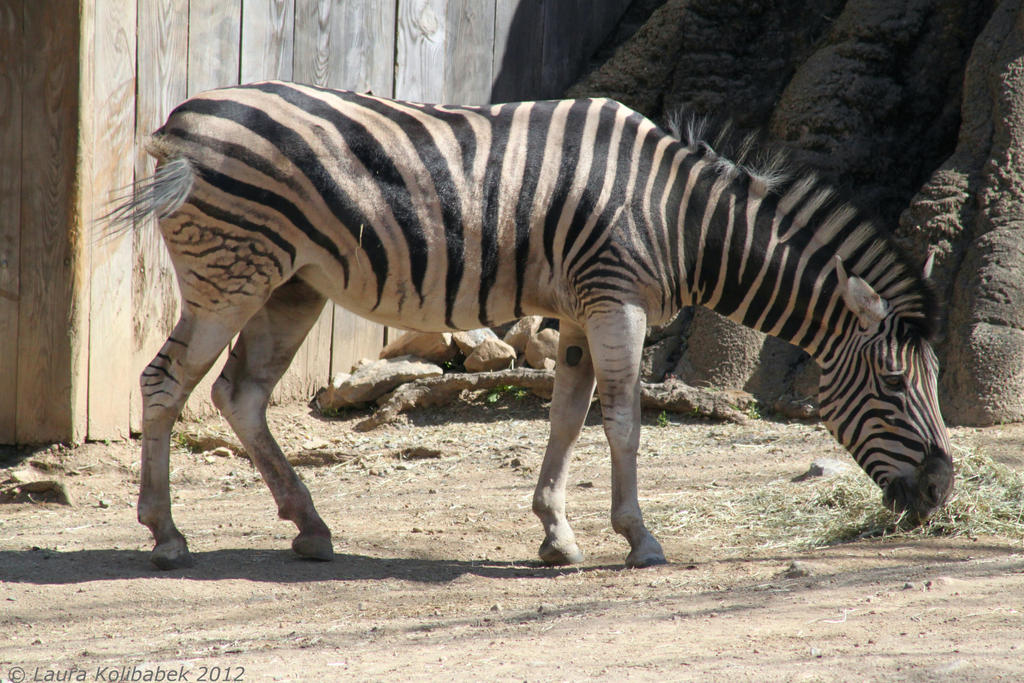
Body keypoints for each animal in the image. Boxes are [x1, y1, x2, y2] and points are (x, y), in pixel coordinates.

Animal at [108, 80, 954, 573]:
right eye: (891, 382)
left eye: (936, 380)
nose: (942, 489)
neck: (679, 220)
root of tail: (180, 117)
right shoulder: (617, 299)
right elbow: (623, 421)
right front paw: (639, 538)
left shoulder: (583, 308)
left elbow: (567, 418)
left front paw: (559, 535)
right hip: (230, 276)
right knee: (164, 382)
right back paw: (166, 535)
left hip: (291, 285)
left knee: (240, 394)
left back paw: (310, 526)